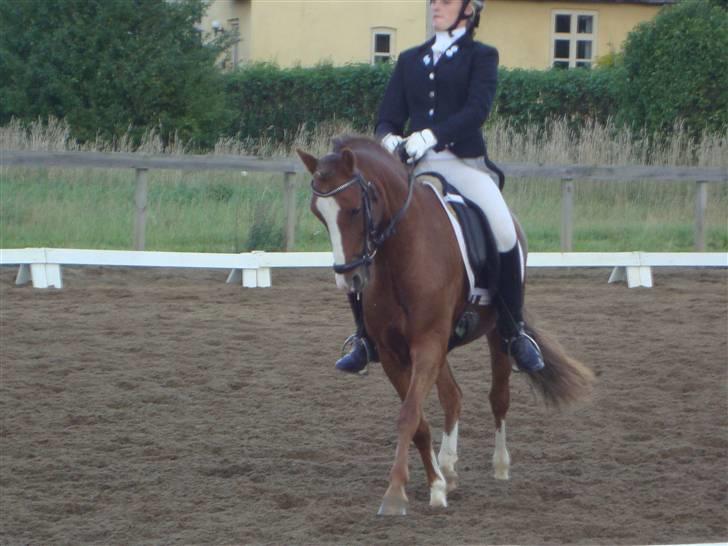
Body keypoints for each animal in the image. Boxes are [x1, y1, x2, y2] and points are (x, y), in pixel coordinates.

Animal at [297, 135, 594, 516]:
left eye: (352, 209)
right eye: (318, 214)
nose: (350, 279)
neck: (402, 253)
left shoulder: (428, 344)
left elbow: (409, 414)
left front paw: (395, 493)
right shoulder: (395, 353)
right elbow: (419, 421)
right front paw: (434, 483)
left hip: (495, 333)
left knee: (499, 397)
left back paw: (500, 465)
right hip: (443, 346)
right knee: (453, 396)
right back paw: (448, 467)